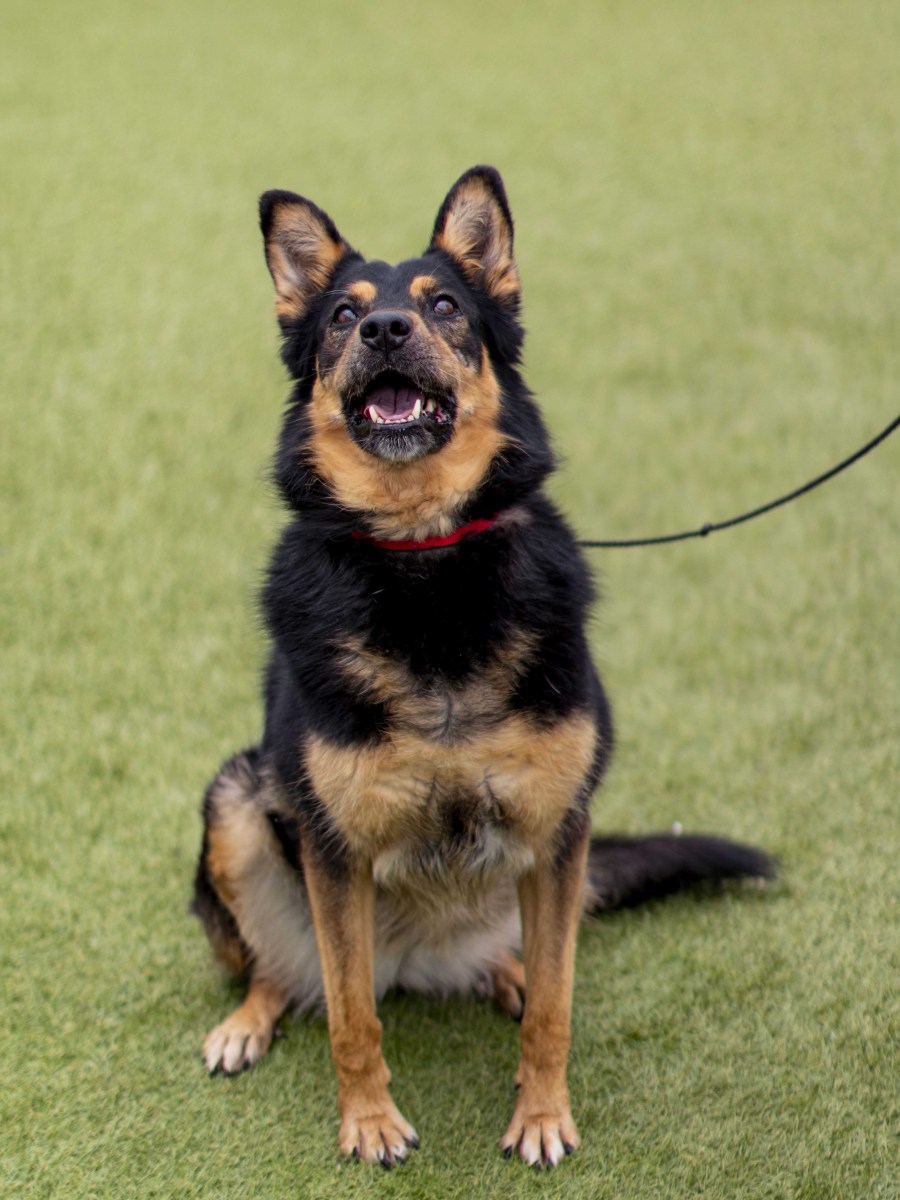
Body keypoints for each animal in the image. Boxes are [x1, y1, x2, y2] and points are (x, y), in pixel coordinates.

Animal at [191, 166, 773, 1169]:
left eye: (444, 307)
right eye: (342, 314)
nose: (386, 329)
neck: (425, 551)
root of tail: (418, 962)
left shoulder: (558, 829)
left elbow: (556, 1008)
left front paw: (541, 1116)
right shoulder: (333, 848)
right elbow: (350, 1016)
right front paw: (369, 1123)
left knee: (521, 960)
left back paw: (502, 973)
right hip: (236, 803)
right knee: (288, 973)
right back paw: (246, 1024)